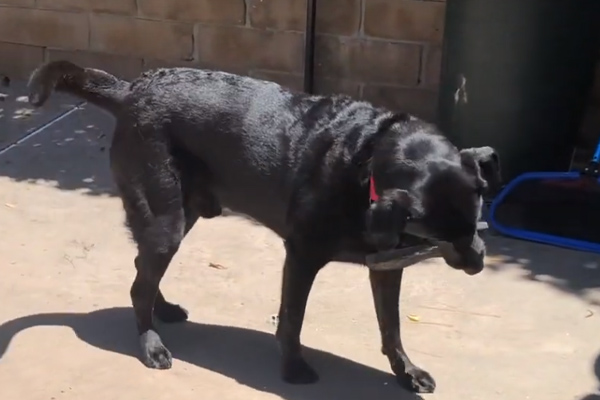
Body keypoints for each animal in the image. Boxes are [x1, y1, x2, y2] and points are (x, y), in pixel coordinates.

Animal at [28, 61, 500, 396]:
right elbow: (292, 318)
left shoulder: (387, 266)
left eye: (480, 206)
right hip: (166, 219)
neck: (367, 156)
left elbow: (392, 327)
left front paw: (406, 371)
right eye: (435, 237)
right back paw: (150, 344)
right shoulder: (302, 255)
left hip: (180, 214)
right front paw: (292, 368)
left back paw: (163, 311)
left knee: (143, 269)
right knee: (139, 284)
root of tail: (131, 91)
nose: (479, 264)